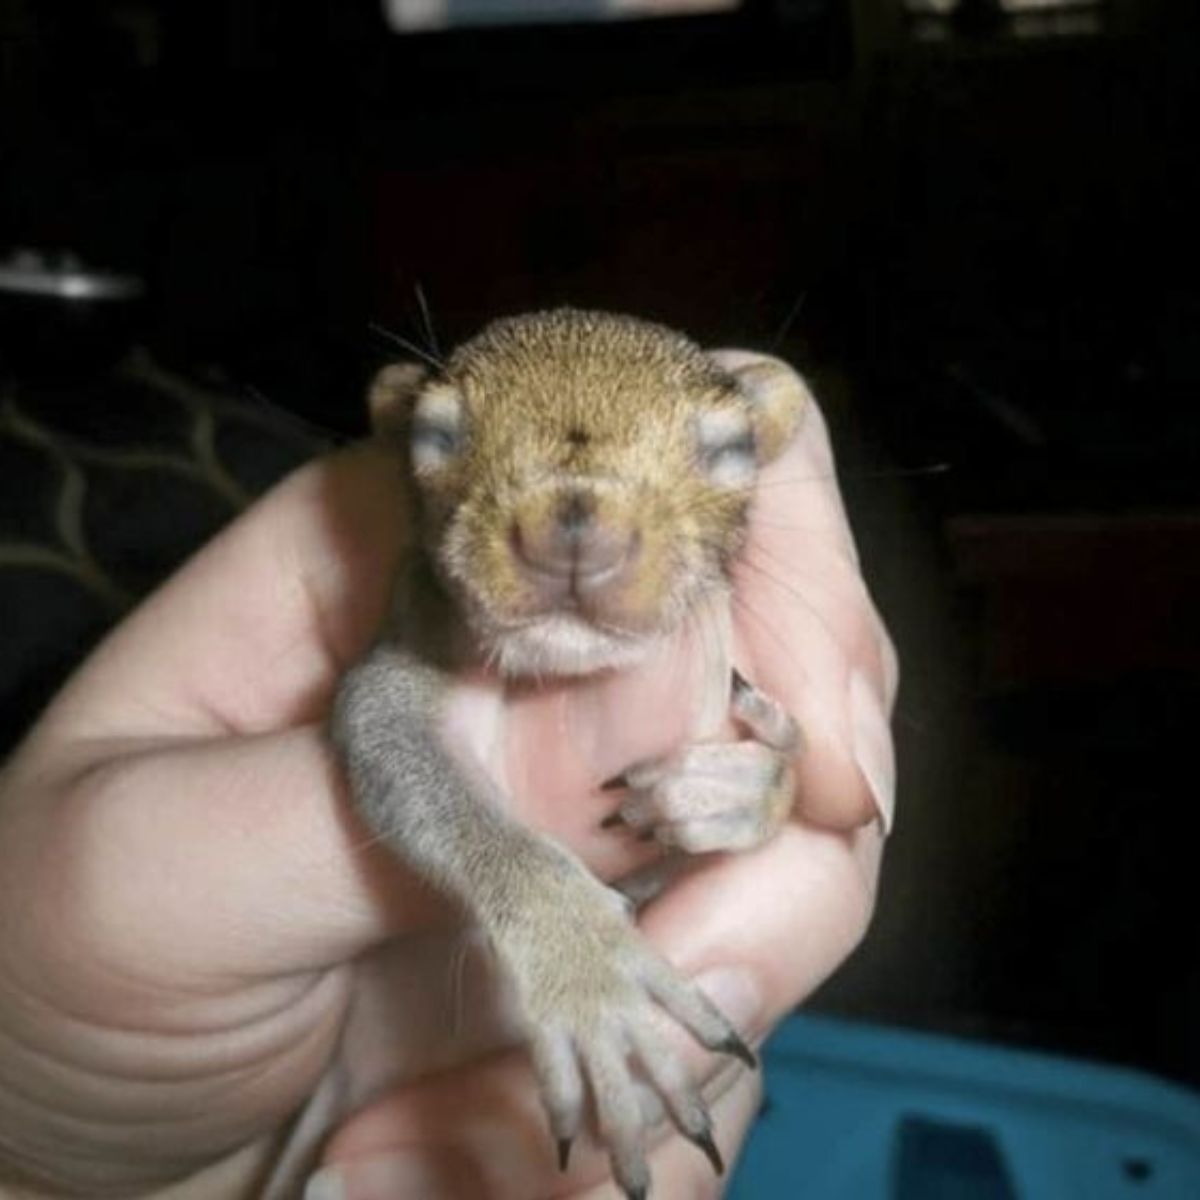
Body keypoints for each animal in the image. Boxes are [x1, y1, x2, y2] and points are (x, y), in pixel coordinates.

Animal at [333, 307, 811, 1190]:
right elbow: (424, 781)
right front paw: (591, 976)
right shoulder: (383, 683)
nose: (575, 532)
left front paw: (732, 787)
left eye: (733, 449)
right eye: (433, 435)